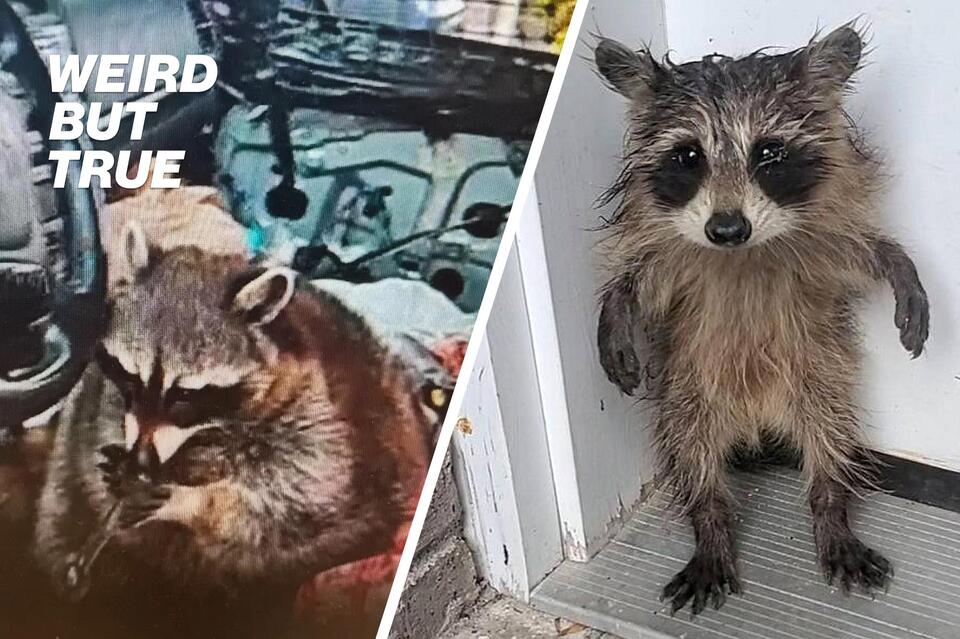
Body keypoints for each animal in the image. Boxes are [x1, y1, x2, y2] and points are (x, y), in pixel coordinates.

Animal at [34, 221, 430, 635]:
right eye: (130, 376)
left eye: (184, 395)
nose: (141, 463)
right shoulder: (102, 400)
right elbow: (99, 433)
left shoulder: (319, 419)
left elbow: (289, 500)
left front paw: (188, 500)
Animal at [593, 25, 929, 615]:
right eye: (688, 155)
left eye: (768, 152)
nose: (727, 229)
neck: (743, 255)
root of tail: (757, 422)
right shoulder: (674, 258)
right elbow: (641, 281)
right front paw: (616, 305)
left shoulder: (819, 247)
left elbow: (862, 253)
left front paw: (898, 264)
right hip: (689, 389)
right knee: (691, 450)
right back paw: (710, 523)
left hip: (818, 374)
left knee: (831, 437)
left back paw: (830, 506)